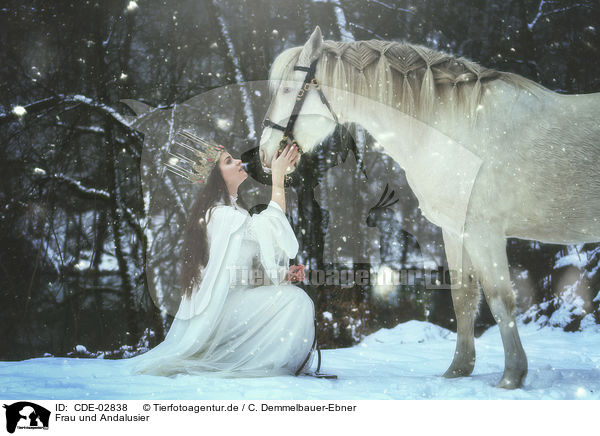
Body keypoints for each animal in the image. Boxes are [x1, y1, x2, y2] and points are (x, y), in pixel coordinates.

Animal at [258, 26, 600, 388]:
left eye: (287, 89)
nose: (265, 152)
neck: (456, 132)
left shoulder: (484, 232)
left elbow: (500, 299)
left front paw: (511, 377)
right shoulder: (456, 230)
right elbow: (463, 297)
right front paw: (458, 370)